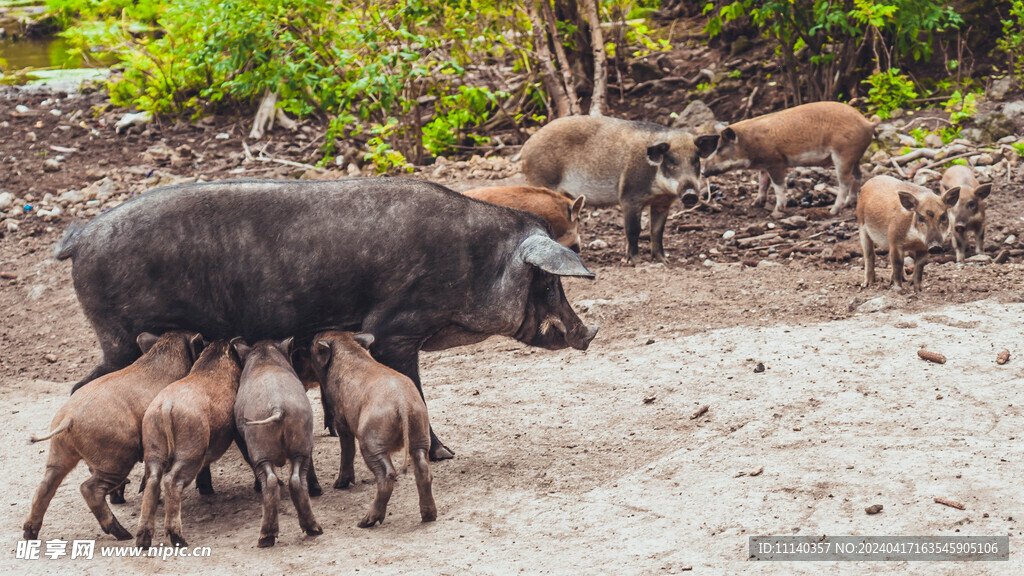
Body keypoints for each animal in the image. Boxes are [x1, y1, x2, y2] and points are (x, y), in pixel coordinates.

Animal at [23, 330, 203, 541]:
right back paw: (124, 534)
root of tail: (69, 418)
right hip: (117, 456)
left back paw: (29, 534)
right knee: (88, 488)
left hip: (60, 452)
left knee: (45, 486)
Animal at [136, 340, 243, 545]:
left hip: (154, 447)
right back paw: (179, 539)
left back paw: (143, 542)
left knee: (152, 482)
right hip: (190, 452)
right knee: (171, 481)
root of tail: (167, 405)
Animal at [234, 338, 321, 545]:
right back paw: (313, 528)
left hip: (260, 447)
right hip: (301, 437)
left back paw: (266, 537)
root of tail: (277, 407)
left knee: (270, 480)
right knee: (296, 478)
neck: (265, 355)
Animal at [313, 330, 438, 528]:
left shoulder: (341, 417)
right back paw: (429, 516)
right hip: (420, 432)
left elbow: (346, 447)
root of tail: (402, 402)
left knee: (387, 474)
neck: (345, 345)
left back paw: (365, 522)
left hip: (371, 442)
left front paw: (338, 485)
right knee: (423, 469)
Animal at [704, 100, 880, 217]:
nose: (703, 171)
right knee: (857, 176)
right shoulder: (765, 165)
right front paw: (755, 204)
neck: (748, 144)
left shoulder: (776, 161)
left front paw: (776, 212)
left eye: (719, 149)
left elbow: (778, 186)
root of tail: (867, 122)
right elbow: (763, 183)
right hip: (855, 157)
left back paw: (832, 210)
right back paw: (851, 203)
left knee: (845, 182)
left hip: (843, 155)